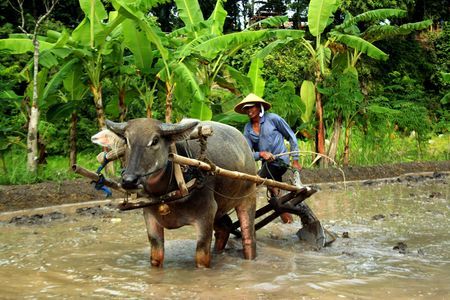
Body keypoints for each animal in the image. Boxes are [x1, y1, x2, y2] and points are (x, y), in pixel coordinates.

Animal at [95, 118, 256, 268]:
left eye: (155, 140)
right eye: (126, 140)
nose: (129, 180)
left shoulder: (206, 214)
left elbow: (202, 258)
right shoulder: (150, 217)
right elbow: (156, 256)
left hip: (248, 198)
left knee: (248, 237)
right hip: (220, 209)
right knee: (225, 228)